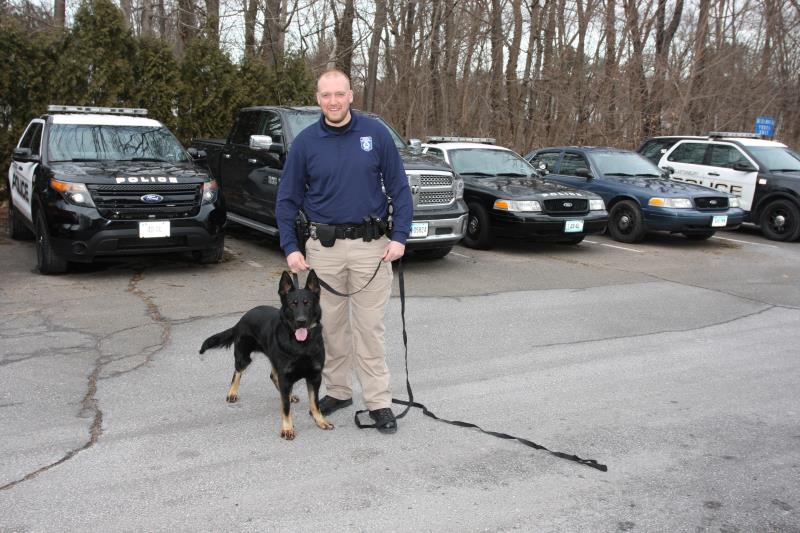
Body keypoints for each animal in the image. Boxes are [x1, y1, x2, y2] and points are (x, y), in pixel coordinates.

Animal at [198, 270, 332, 440]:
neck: (301, 345)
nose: (301, 321)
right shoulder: (286, 376)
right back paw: (232, 392)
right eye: (292, 304)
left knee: (273, 376)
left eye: (307, 303)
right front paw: (287, 428)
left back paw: (289, 395)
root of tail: (241, 320)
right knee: (237, 372)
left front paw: (320, 420)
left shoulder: (314, 376)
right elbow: (285, 408)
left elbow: (314, 403)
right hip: (244, 357)